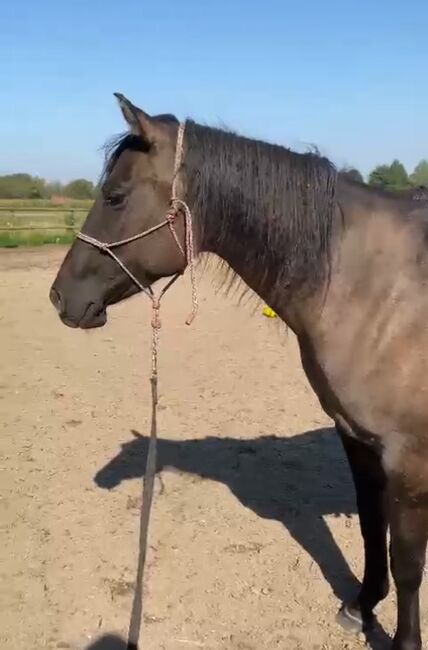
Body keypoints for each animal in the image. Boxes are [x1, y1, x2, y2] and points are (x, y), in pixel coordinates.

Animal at [51, 92, 428, 648]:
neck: (375, 285)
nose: (61, 298)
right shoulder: (357, 439)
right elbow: (369, 526)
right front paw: (361, 606)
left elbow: (406, 561)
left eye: (115, 197)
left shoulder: (407, 457)